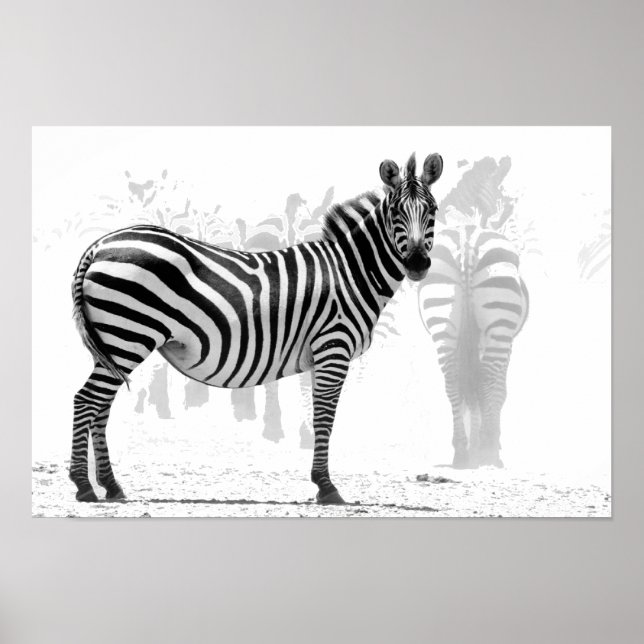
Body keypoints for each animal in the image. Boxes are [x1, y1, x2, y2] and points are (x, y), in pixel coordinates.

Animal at [69, 152, 443, 505]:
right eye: (395, 212)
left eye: (433, 210)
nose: (417, 264)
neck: (350, 272)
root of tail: (100, 245)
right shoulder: (333, 347)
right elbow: (325, 416)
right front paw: (326, 486)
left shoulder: (322, 354)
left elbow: (318, 413)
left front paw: (321, 482)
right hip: (128, 336)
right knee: (85, 399)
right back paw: (84, 486)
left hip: (113, 343)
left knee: (100, 405)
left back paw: (111, 485)